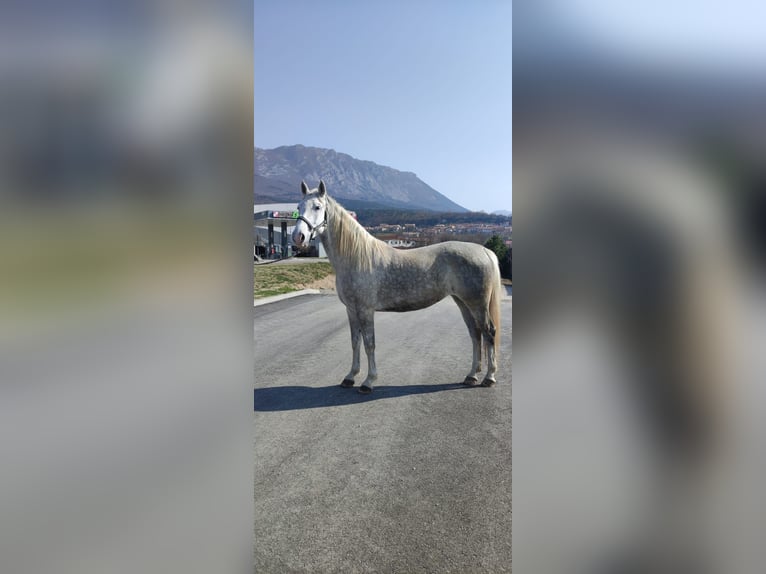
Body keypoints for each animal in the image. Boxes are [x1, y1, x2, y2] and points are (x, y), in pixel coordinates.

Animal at [292, 181, 500, 396]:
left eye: (317, 207)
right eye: (298, 207)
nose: (298, 237)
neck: (356, 257)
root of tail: (484, 250)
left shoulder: (365, 310)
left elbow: (369, 344)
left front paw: (368, 381)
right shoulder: (351, 309)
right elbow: (355, 342)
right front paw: (350, 377)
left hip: (478, 304)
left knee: (489, 332)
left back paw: (489, 377)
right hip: (463, 303)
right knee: (475, 334)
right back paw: (471, 376)